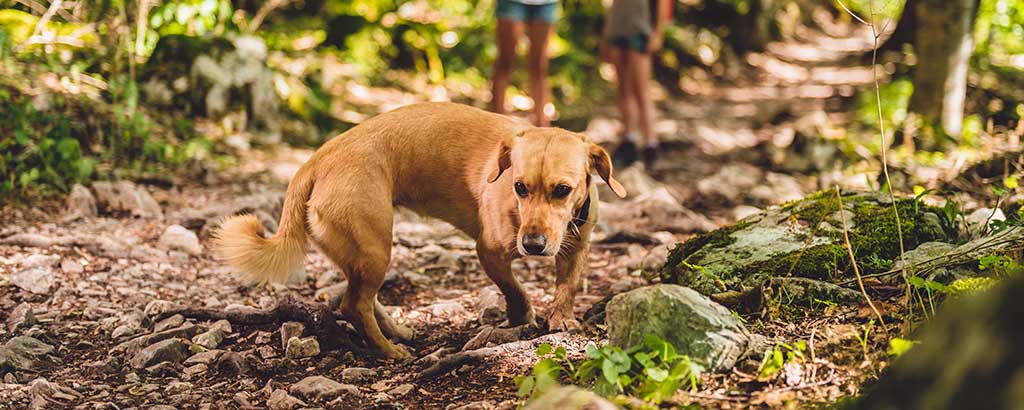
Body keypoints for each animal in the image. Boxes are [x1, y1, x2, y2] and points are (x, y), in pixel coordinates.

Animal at [216, 102, 622, 358]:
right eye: (520, 187)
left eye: (562, 190)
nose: (534, 244)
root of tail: (316, 160)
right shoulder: (488, 252)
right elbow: (516, 291)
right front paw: (523, 318)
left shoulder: (577, 248)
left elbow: (566, 286)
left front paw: (562, 317)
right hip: (376, 248)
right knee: (354, 305)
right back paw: (389, 350)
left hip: (363, 253)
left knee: (362, 298)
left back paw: (396, 333)